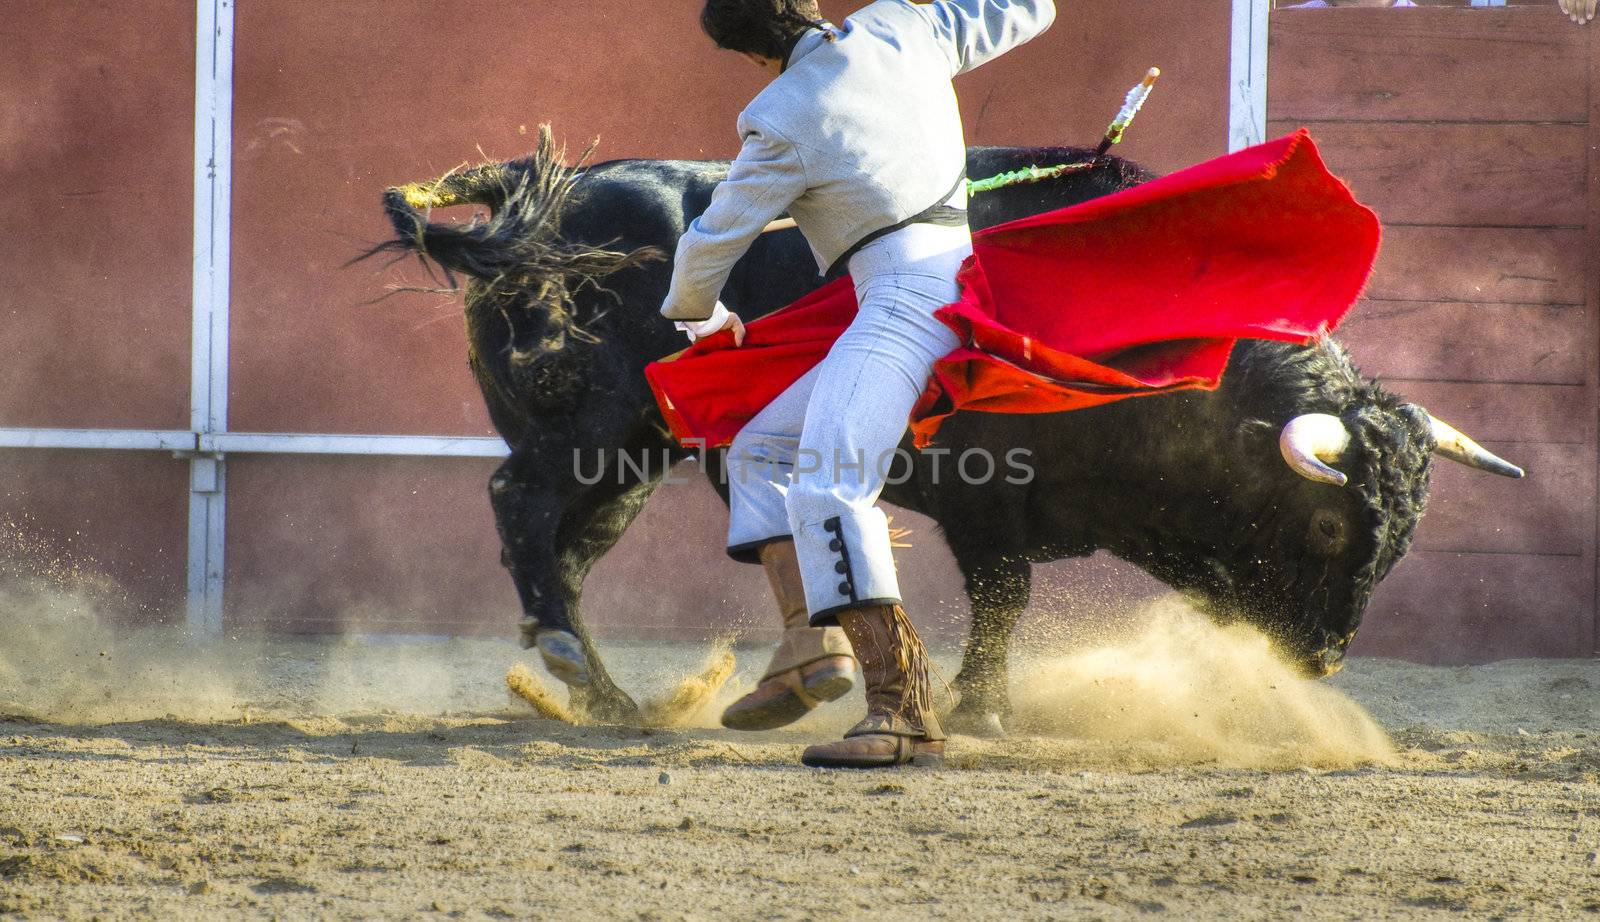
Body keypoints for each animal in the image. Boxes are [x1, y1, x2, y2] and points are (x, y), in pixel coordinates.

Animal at [377, 131, 1523, 736]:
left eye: (1406, 537)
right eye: (1329, 529)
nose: (1325, 661)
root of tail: (550, 196)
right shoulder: (984, 494)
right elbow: (1004, 597)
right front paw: (980, 708)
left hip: (635, 460)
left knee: (566, 551)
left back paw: (614, 695)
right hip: (589, 434)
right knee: (521, 508)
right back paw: (584, 668)